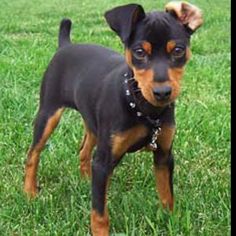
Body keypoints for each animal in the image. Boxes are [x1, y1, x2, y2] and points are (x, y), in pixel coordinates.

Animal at [24, 1, 204, 234]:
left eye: (178, 50)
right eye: (139, 52)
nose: (163, 93)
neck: (143, 108)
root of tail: (65, 46)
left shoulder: (164, 155)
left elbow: (166, 194)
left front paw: (170, 221)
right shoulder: (104, 161)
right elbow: (99, 212)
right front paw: (100, 232)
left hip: (94, 126)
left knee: (84, 150)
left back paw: (86, 180)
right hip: (48, 114)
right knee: (33, 154)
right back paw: (29, 192)